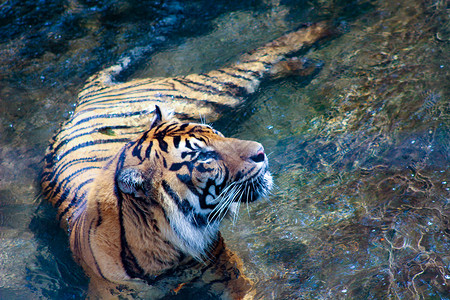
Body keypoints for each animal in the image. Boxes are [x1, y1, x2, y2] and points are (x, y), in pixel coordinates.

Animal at [41, 22, 330, 298]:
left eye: (217, 134)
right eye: (204, 155)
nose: (261, 152)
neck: (168, 252)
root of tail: (84, 98)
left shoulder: (223, 268)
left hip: (209, 94)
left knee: (254, 61)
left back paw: (323, 30)